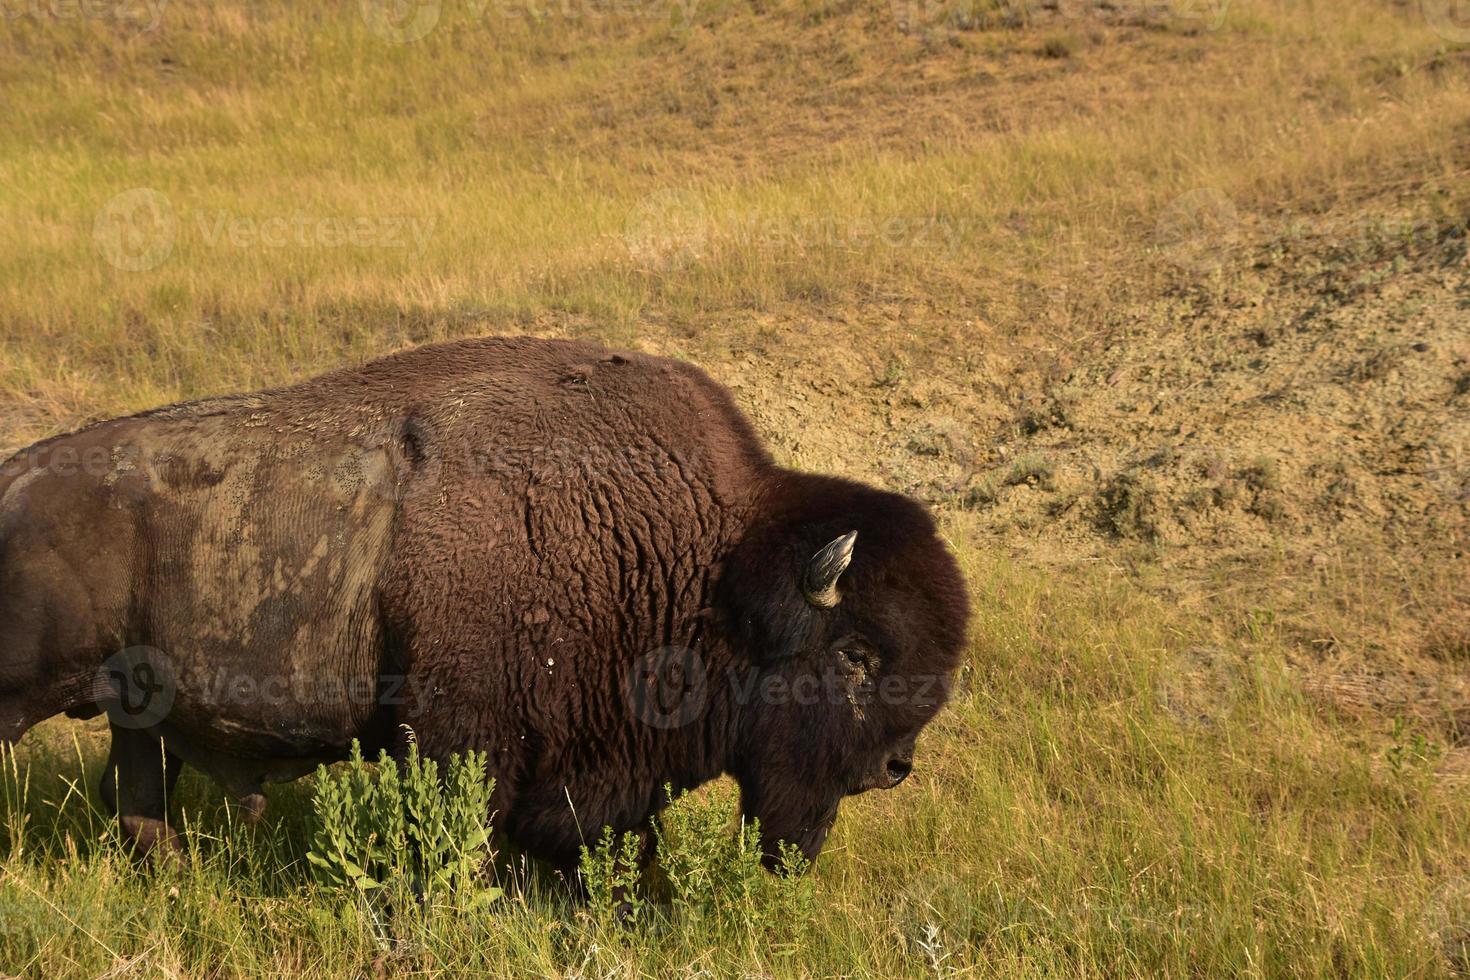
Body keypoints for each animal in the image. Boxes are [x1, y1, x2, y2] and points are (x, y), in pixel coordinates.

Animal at [0, 334, 970, 875]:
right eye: (855, 654)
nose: (895, 766)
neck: (707, 562)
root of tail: (16, 475)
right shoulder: (458, 736)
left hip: (136, 713)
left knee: (138, 809)